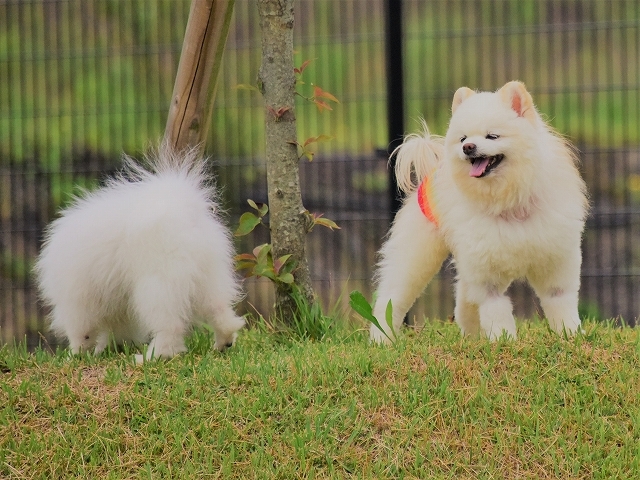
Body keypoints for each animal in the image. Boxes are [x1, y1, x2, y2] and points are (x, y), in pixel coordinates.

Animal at [35, 144, 245, 358]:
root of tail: (184, 214)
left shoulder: (78, 300)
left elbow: (81, 332)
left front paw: (76, 354)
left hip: (157, 286)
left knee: (170, 327)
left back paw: (151, 357)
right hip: (208, 280)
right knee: (221, 313)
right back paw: (223, 343)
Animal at [372, 80, 588, 342]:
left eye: (492, 136)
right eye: (463, 138)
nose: (468, 147)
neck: (509, 199)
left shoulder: (555, 260)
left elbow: (560, 300)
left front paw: (571, 335)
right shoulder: (487, 276)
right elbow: (496, 310)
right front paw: (504, 341)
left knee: (464, 301)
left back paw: (472, 336)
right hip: (415, 257)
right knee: (390, 300)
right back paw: (381, 340)